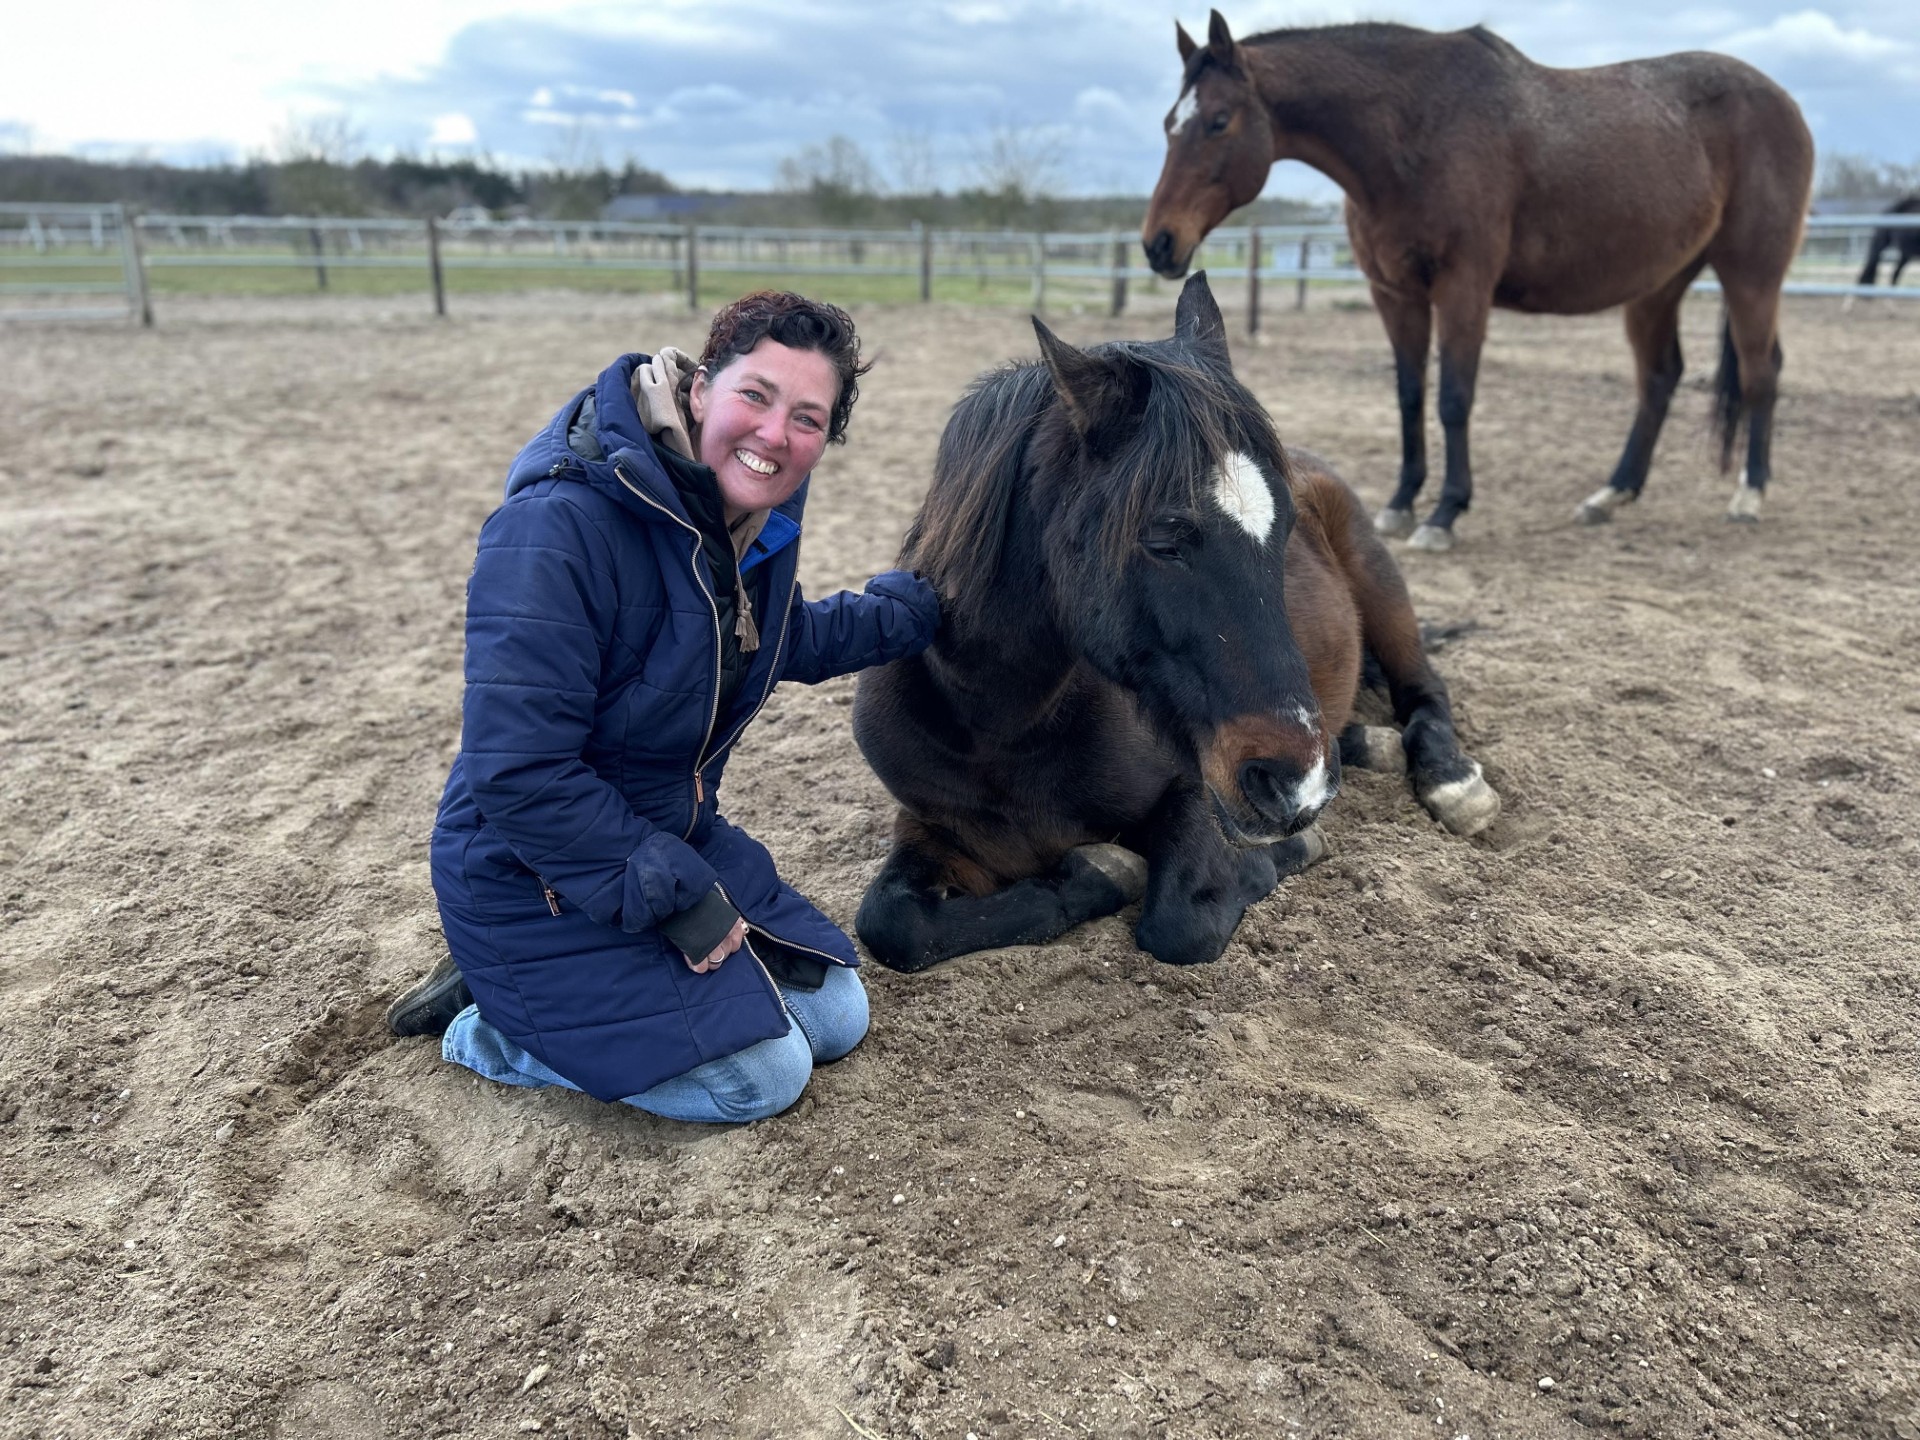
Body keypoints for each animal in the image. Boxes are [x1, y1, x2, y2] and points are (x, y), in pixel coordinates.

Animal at [851, 274, 1499, 974]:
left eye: (1286, 529)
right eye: (1164, 539)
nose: (1293, 782)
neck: (1002, 725)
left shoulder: (1196, 788)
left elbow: (1180, 919)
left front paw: (1275, 855)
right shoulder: (938, 831)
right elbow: (892, 924)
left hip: (1382, 592)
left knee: (1424, 689)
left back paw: (1450, 781)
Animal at [1141, 13, 1815, 548]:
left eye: (1219, 121)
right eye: (1170, 122)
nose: (1159, 243)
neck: (1414, 132)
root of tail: (1785, 103)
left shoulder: (1463, 289)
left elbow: (1453, 398)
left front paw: (1443, 513)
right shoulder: (1396, 295)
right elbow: (1409, 395)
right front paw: (1399, 504)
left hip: (1751, 273)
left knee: (1761, 373)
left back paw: (1748, 497)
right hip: (1659, 285)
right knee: (1660, 377)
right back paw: (1611, 494)